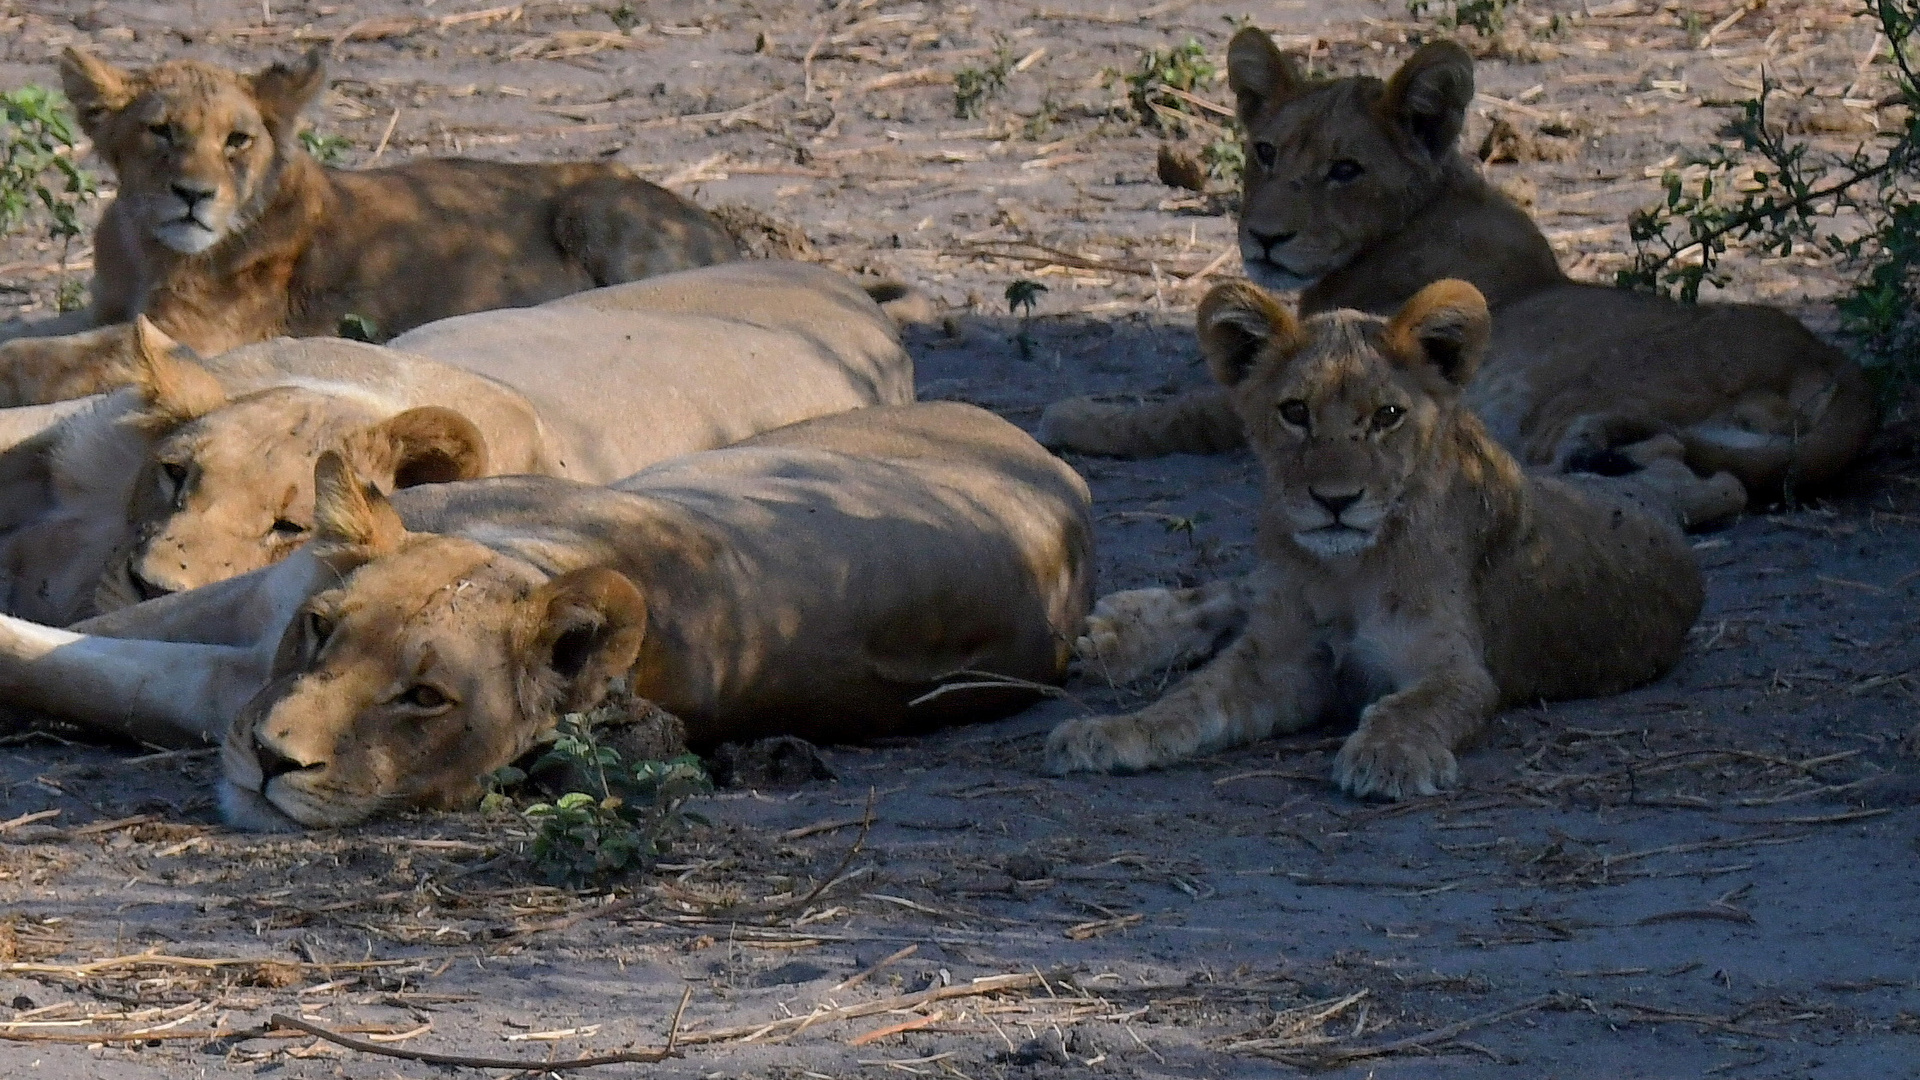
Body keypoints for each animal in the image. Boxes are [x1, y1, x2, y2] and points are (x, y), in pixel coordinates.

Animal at [0, 45, 737, 403]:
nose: (193, 196)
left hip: (595, 204)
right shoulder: (108, 304)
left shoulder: (194, 334)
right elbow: (44, 334)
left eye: (237, 140)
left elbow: (63, 356)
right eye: (161, 132)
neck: (145, 245)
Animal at [0, 399, 1090, 826]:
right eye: (323, 629)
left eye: (425, 699)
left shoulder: (222, 669)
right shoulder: (254, 601)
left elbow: (84, 665)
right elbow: (105, 632)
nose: (269, 762)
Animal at [1036, 28, 1873, 499]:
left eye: (1345, 170)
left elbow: (1179, 411)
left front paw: (1076, 415)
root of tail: (1841, 365)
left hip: (1586, 390)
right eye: (1265, 153)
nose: (1264, 239)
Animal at [1052, 278, 1712, 799]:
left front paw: (1388, 756)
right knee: (1238, 589)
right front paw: (1112, 731)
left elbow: (1414, 706)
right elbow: (1191, 698)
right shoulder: (1280, 655)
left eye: (1388, 416)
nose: (1335, 501)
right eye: (1295, 412)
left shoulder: (1459, 669)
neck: (1346, 572)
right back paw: (1117, 635)